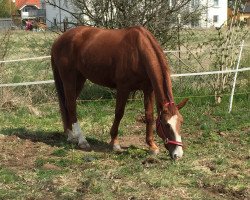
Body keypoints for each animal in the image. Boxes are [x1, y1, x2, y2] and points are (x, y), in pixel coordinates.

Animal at [50, 25, 188, 159]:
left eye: (181, 122)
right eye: (166, 124)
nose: (178, 154)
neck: (138, 51)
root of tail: (59, 40)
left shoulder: (148, 89)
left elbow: (149, 116)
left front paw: (152, 146)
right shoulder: (123, 88)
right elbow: (119, 113)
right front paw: (115, 143)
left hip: (80, 79)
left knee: (66, 105)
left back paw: (70, 135)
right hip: (69, 79)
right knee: (71, 106)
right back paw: (81, 140)